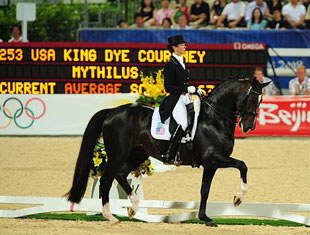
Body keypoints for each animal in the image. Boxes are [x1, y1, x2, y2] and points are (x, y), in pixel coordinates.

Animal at [66, 75, 268, 226]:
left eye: (261, 100)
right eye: (252, 98)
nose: (248, 127)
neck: (214, 118)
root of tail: (111, 112)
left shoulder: (211, 164)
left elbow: (205, 190)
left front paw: (205, 218)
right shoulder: (214, 158)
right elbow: (242, 165)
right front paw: (238, 199)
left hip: (138, 154)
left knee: (121, 174)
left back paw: (133, 206)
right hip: (118, 154)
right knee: (107, 180)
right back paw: (111, 216)